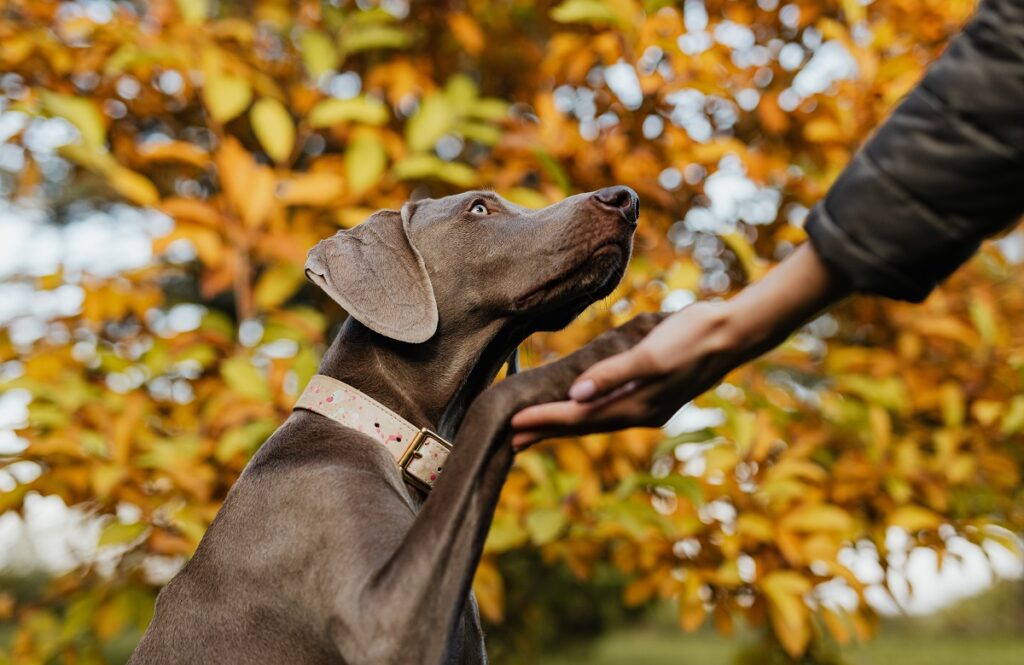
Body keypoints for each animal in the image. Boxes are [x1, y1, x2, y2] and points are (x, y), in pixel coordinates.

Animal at [130, 186, 663, 663]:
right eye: (478, 208)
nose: (627, 199)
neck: (381, 430)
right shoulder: (385, 621)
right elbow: (493, 408)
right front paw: (620, 343)